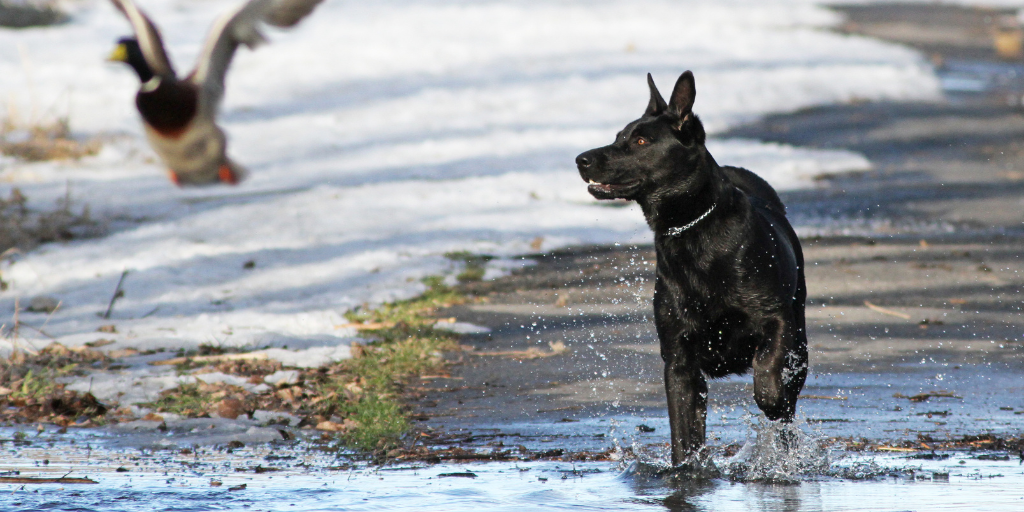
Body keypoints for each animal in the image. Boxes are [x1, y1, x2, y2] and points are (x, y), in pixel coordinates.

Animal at [577, 70, 806, 466]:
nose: (581, 159)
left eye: (640, 140)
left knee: (788, 403)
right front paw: (687, 469)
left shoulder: (777, 319)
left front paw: (770, 397)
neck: (691, 229)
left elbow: (768, 372)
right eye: (619, 136)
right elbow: (684, 430)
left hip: (801, 340)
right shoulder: (679, 359)